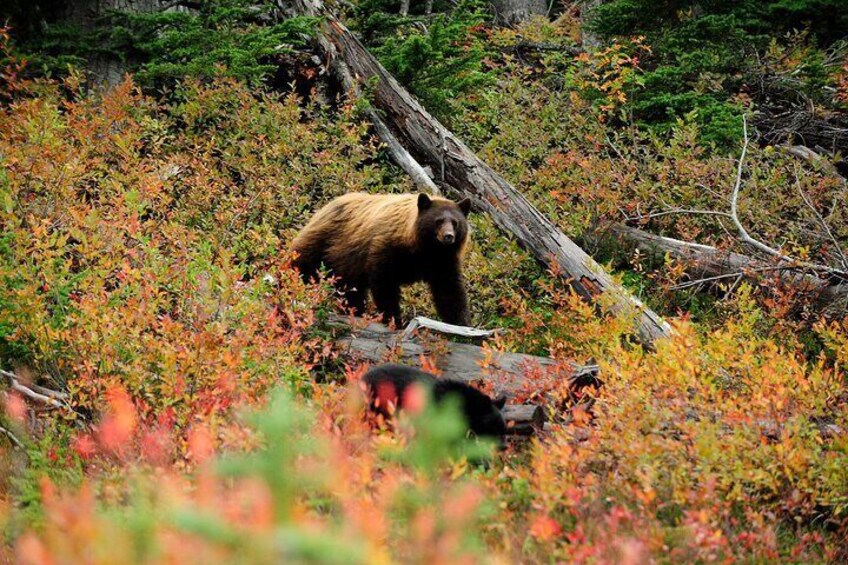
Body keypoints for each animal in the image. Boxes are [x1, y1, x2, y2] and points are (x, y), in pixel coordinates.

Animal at [294, 193, 474, 326]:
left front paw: (461, 323)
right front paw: (394, 319)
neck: (424, 248)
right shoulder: (386, 249)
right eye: (438, 221)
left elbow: (449, 290)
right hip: (323, 244)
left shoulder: (443, 261)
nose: (448, 237)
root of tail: (324, 208)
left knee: (350, 291)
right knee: (303, 265)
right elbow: (385, 284)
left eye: (455, 222)